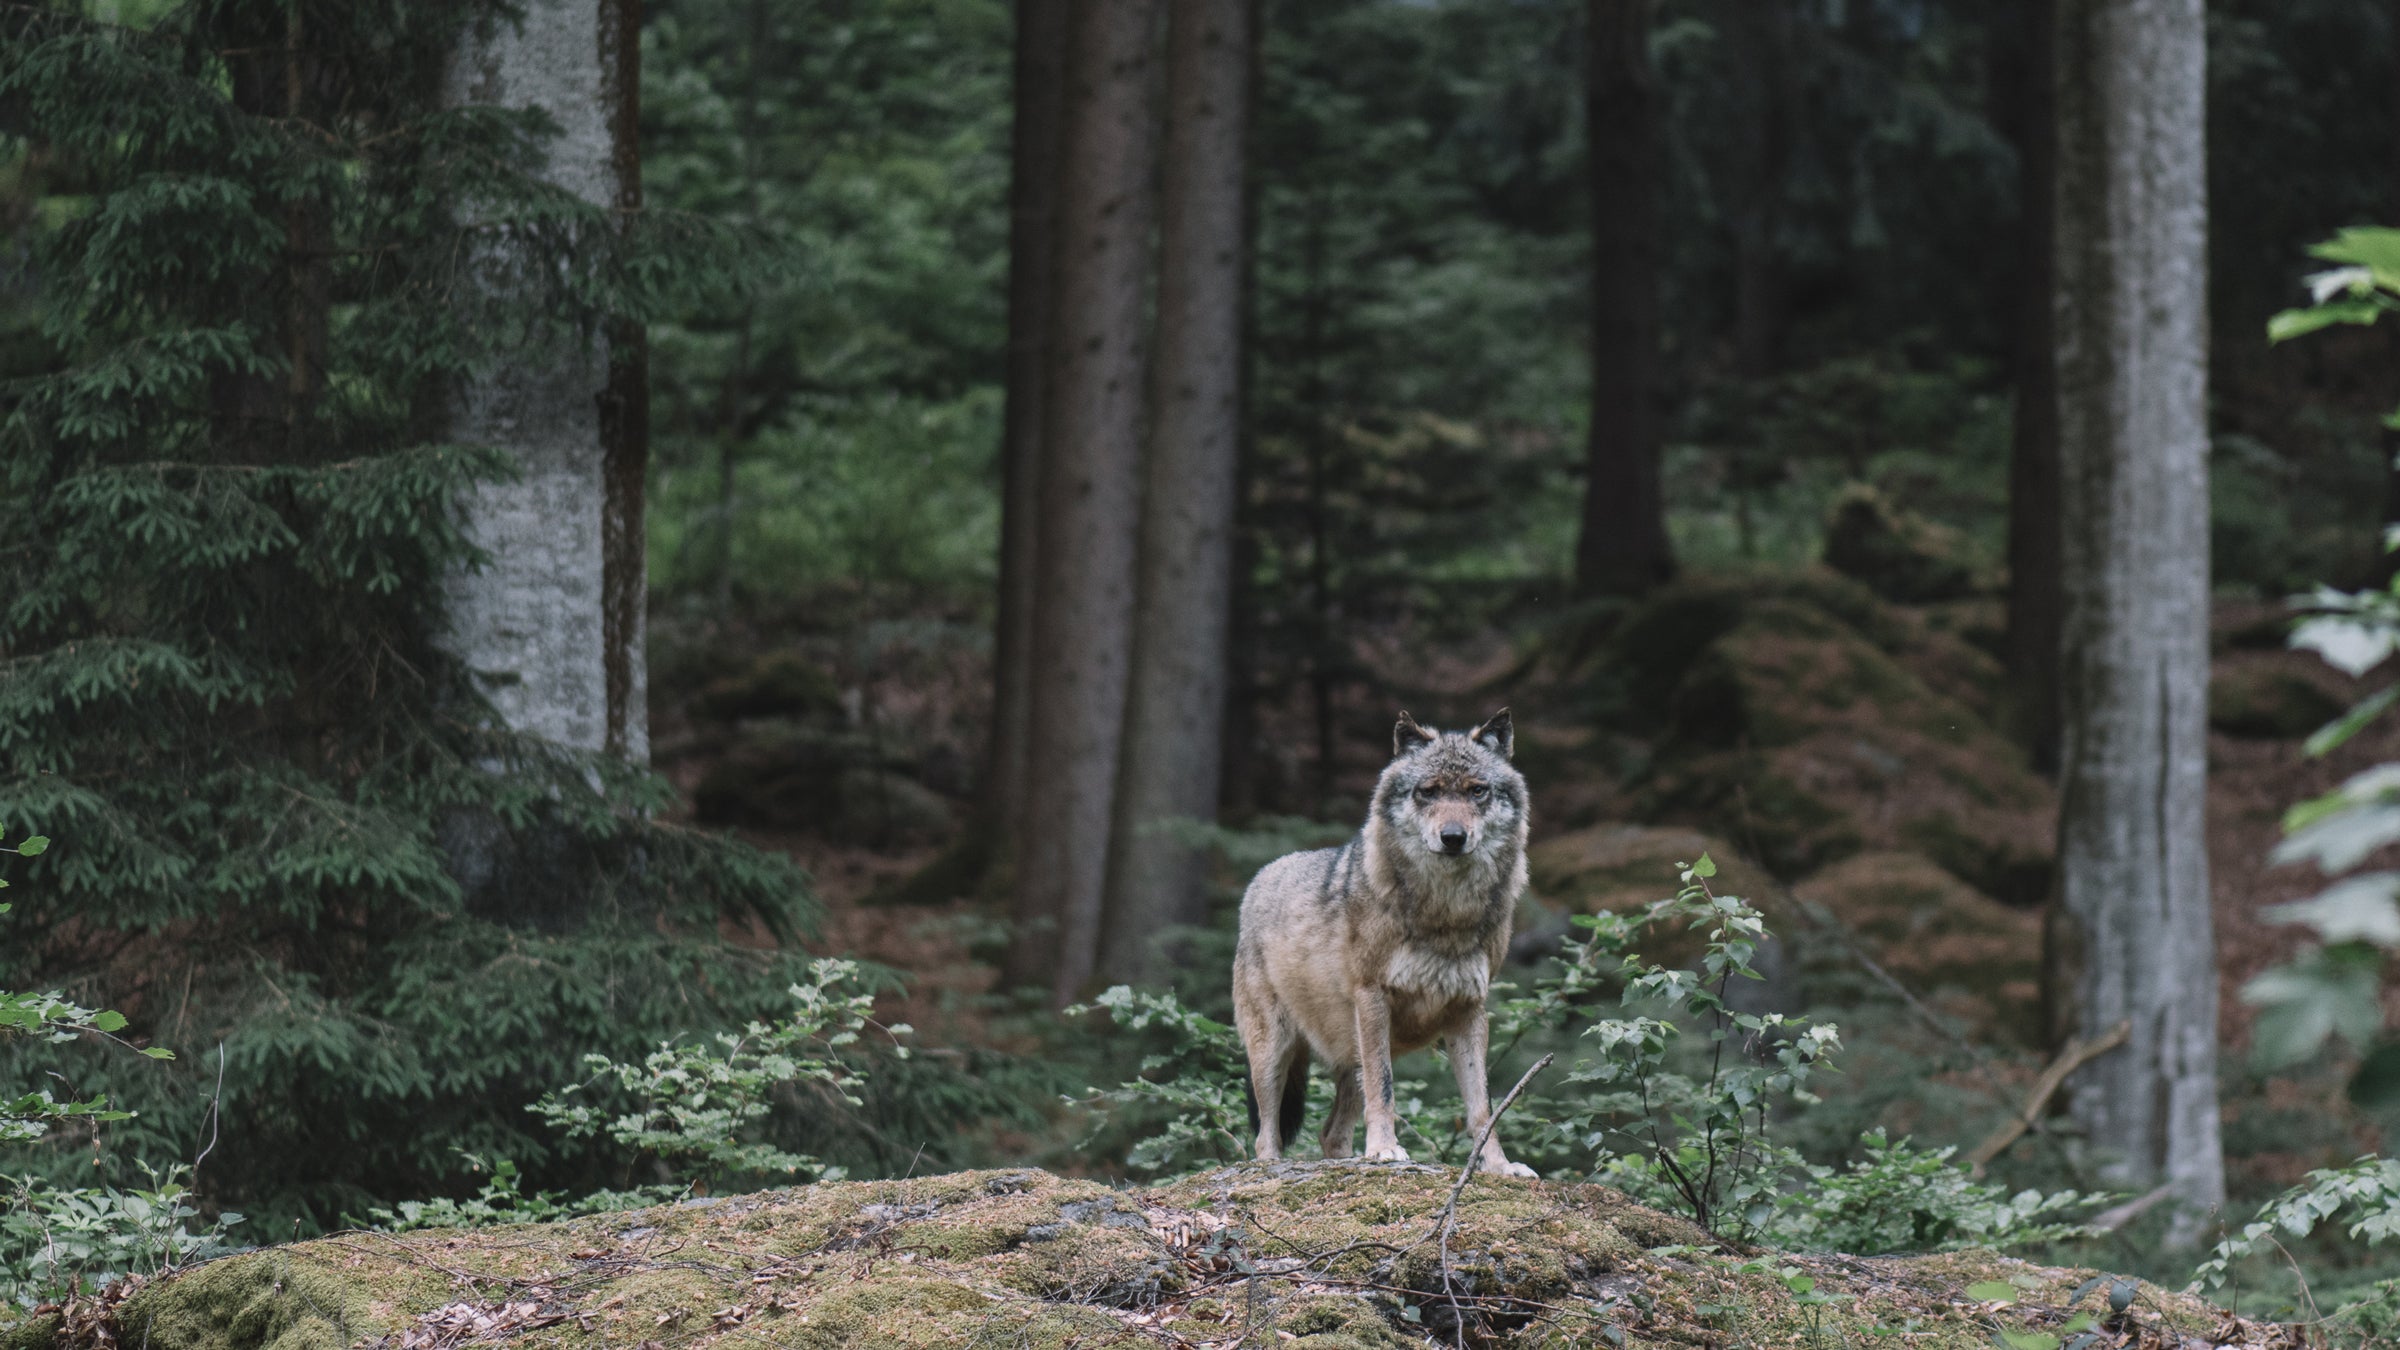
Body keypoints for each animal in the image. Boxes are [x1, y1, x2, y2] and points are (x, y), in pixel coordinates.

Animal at [1232, 708, 1536, 1177]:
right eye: (1428, 792)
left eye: (1477, 791)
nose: (1453, 837)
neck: (1446, 915)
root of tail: (1260, 877)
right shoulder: (1373, 996)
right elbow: (1386, 1088)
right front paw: (1385, 1150)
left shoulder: (1470, 1010)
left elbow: (1483, 1108)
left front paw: (1499, 1167)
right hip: (1275, 1051)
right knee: (1266, 1134)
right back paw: (1273, 1167)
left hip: (1350, 1049)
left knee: (1330, 1133)